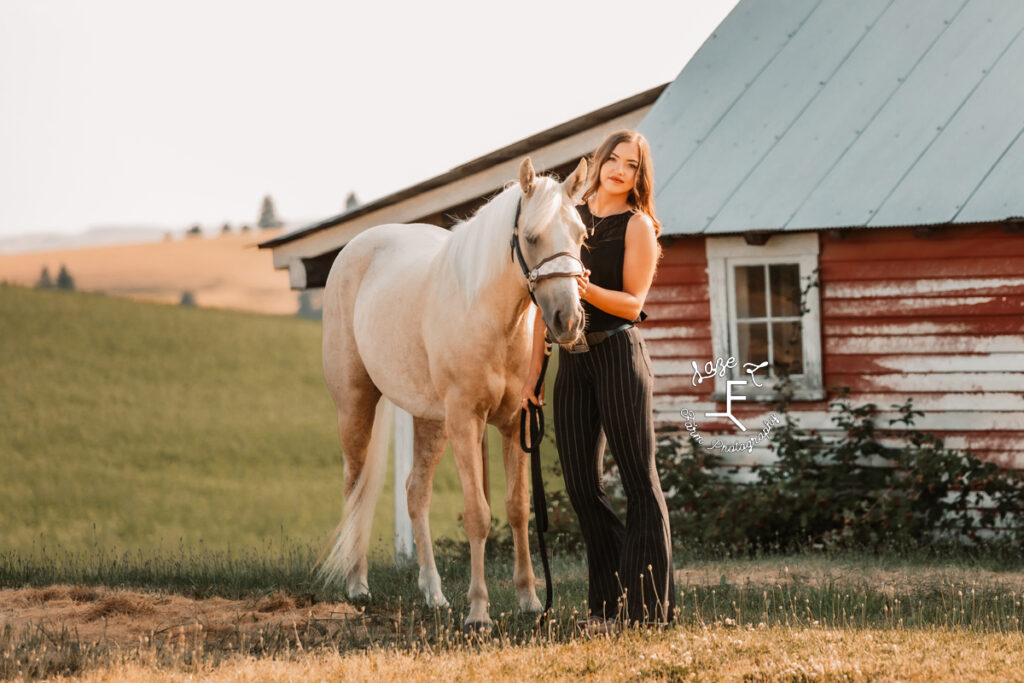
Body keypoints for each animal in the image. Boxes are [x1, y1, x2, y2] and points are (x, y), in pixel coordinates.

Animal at [319, 157, 593, 634]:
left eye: (580, 235)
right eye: (531, 237)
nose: (568, 320)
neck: (489, 316)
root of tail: (357, 246)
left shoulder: (514, 424)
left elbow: (517, 508)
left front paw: (529, 601)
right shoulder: (467, 421)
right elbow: (478, 514)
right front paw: (479, 611)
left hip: (431, 420)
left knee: (415, 492)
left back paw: (434, 593)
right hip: (356, 405)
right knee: (355, 489)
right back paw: (357, 586)